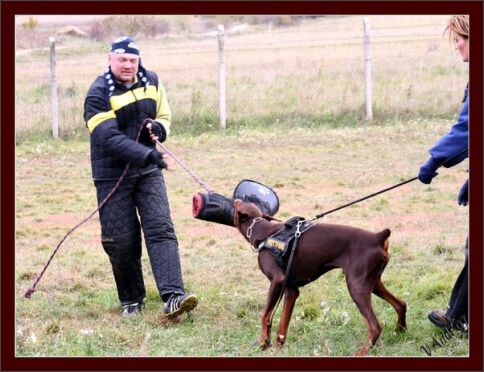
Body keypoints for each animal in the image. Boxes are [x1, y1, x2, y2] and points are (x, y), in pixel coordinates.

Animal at [233, 199, 406, 356]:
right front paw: (277, 346)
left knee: (375, 326)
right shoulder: (291, 290)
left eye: (238, 204)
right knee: (401, 304)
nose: (235, 199)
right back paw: (400, 330)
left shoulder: (277, 280)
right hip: (373, 283)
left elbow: (265, 314)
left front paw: (263, 342)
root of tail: (378, 237)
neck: (262, 231)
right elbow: (283, 323)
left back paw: (361, 353)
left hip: (356, 287)